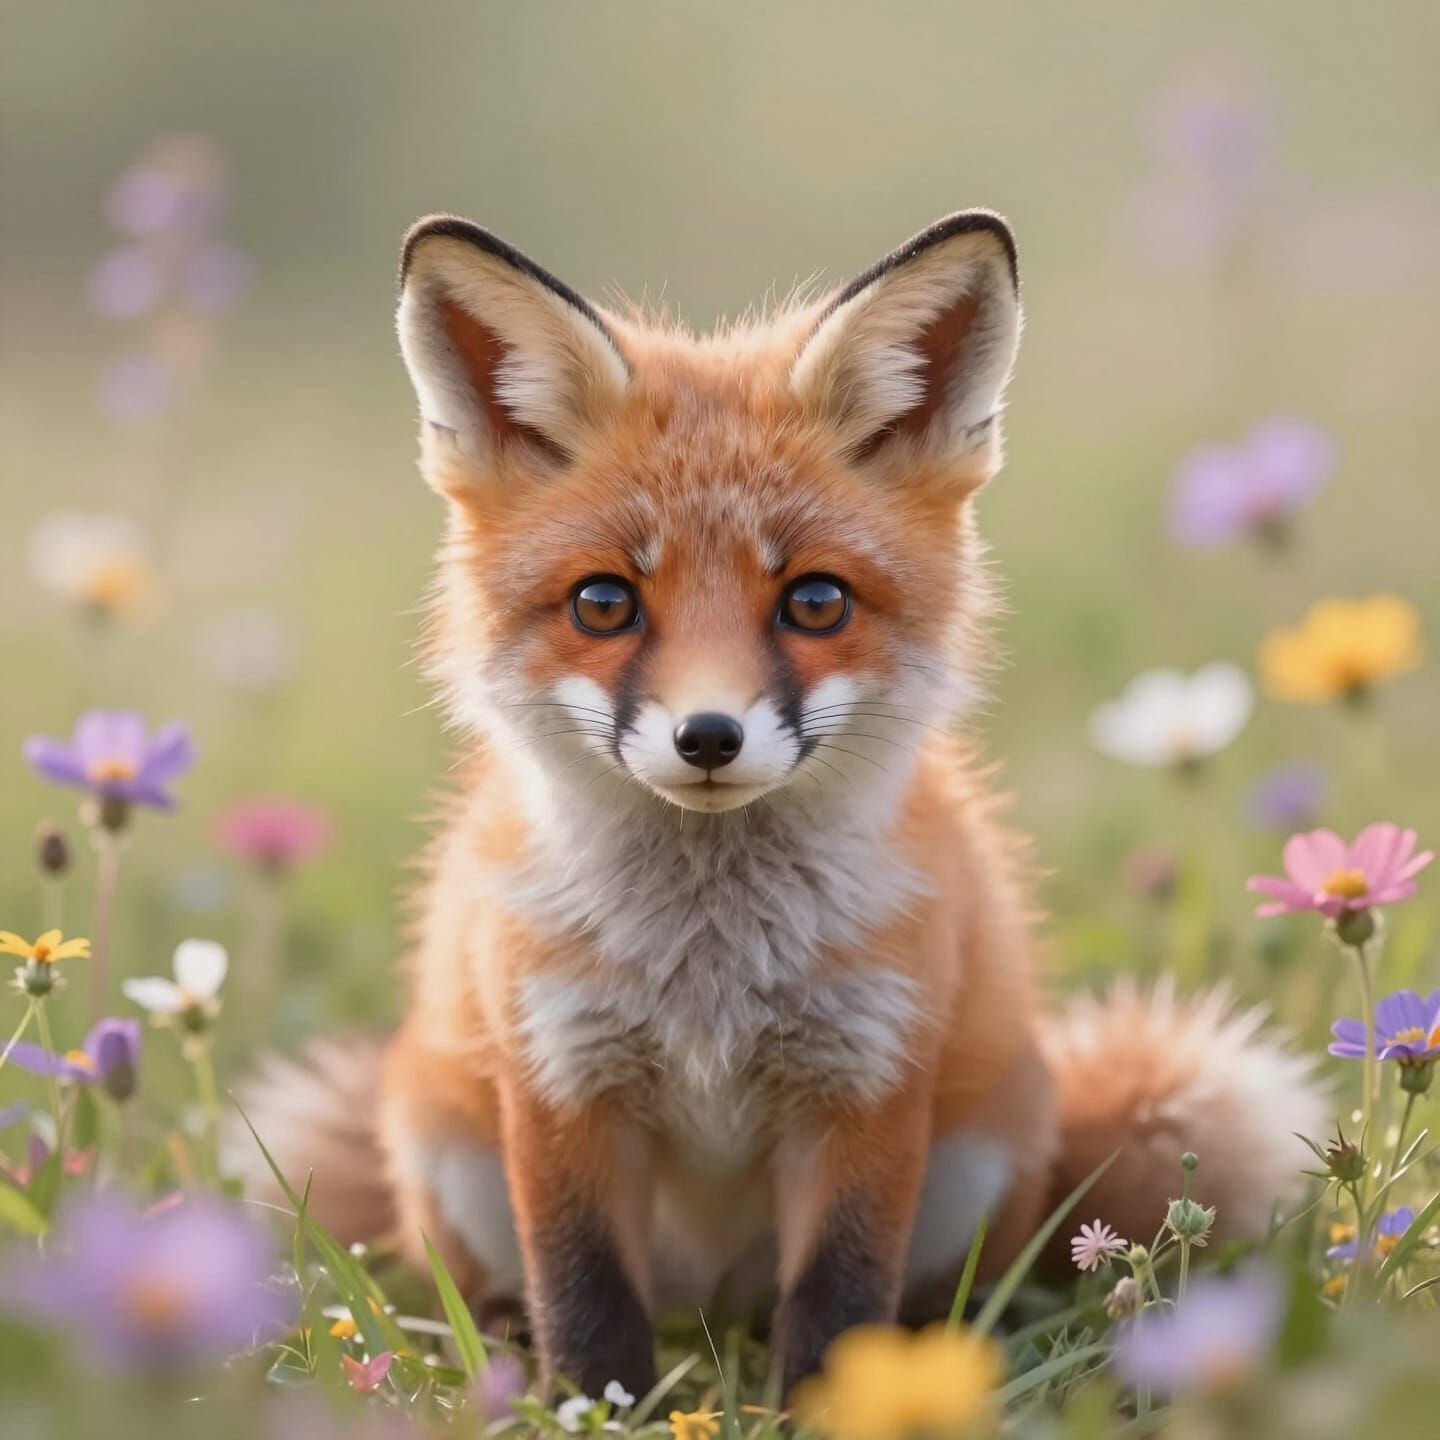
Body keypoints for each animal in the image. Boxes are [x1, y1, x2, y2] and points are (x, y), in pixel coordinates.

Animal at [234, 210, 1326, 1398]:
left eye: (815, 601)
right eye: (603, 602)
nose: (708, 737)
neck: (709, 968)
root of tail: (712, 1312)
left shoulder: (867, 1085)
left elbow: (839, 1304)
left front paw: (838, 1407)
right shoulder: (562, 1082)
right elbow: (585, 1297)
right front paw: (594, 1409)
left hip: (979, 1164)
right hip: (446, 1148)